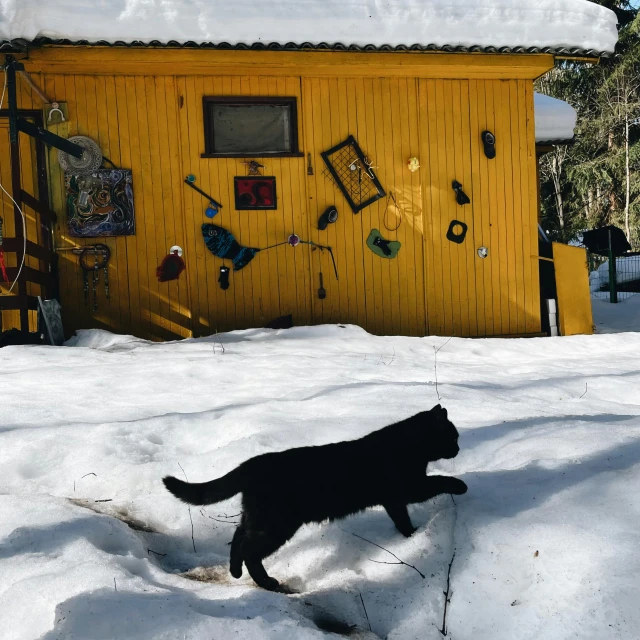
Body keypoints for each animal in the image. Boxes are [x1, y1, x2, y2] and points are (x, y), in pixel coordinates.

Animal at [162, 402, 468, 592]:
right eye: (452, 437)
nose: (458, 449)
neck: (410, 445)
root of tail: (253, 463)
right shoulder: (410, 487)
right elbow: (439, 481)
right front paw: (460, 485)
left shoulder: (395, 499)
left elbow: (401, 519)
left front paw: (409, 536)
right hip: (278, 524)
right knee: (250, 549)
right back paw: (266, 582)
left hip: (259, 517)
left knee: (238, 535)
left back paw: (236, 571)